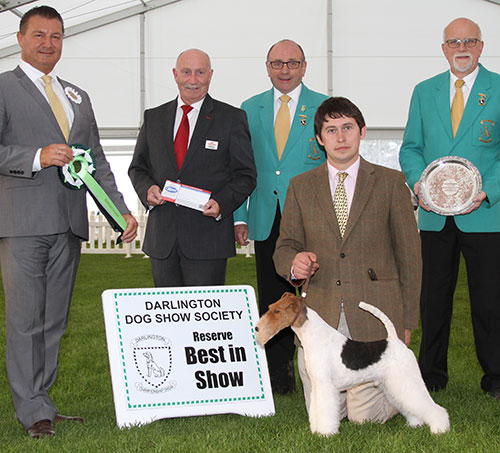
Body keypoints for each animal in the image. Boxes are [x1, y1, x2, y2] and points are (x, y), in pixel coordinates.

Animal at [254, 292, 450, 436]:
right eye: (271, 308)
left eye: (277, 312)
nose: (256, 328)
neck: (314, 335)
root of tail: (394, 340)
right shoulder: (317, 385)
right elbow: (316, 409)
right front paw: (316, 429)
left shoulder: (325, 386)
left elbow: (325, 410)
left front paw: (325, 433)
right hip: (392, 384)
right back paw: (415, 424)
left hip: (406, 379)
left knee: (431, 406)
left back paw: (439, 428)